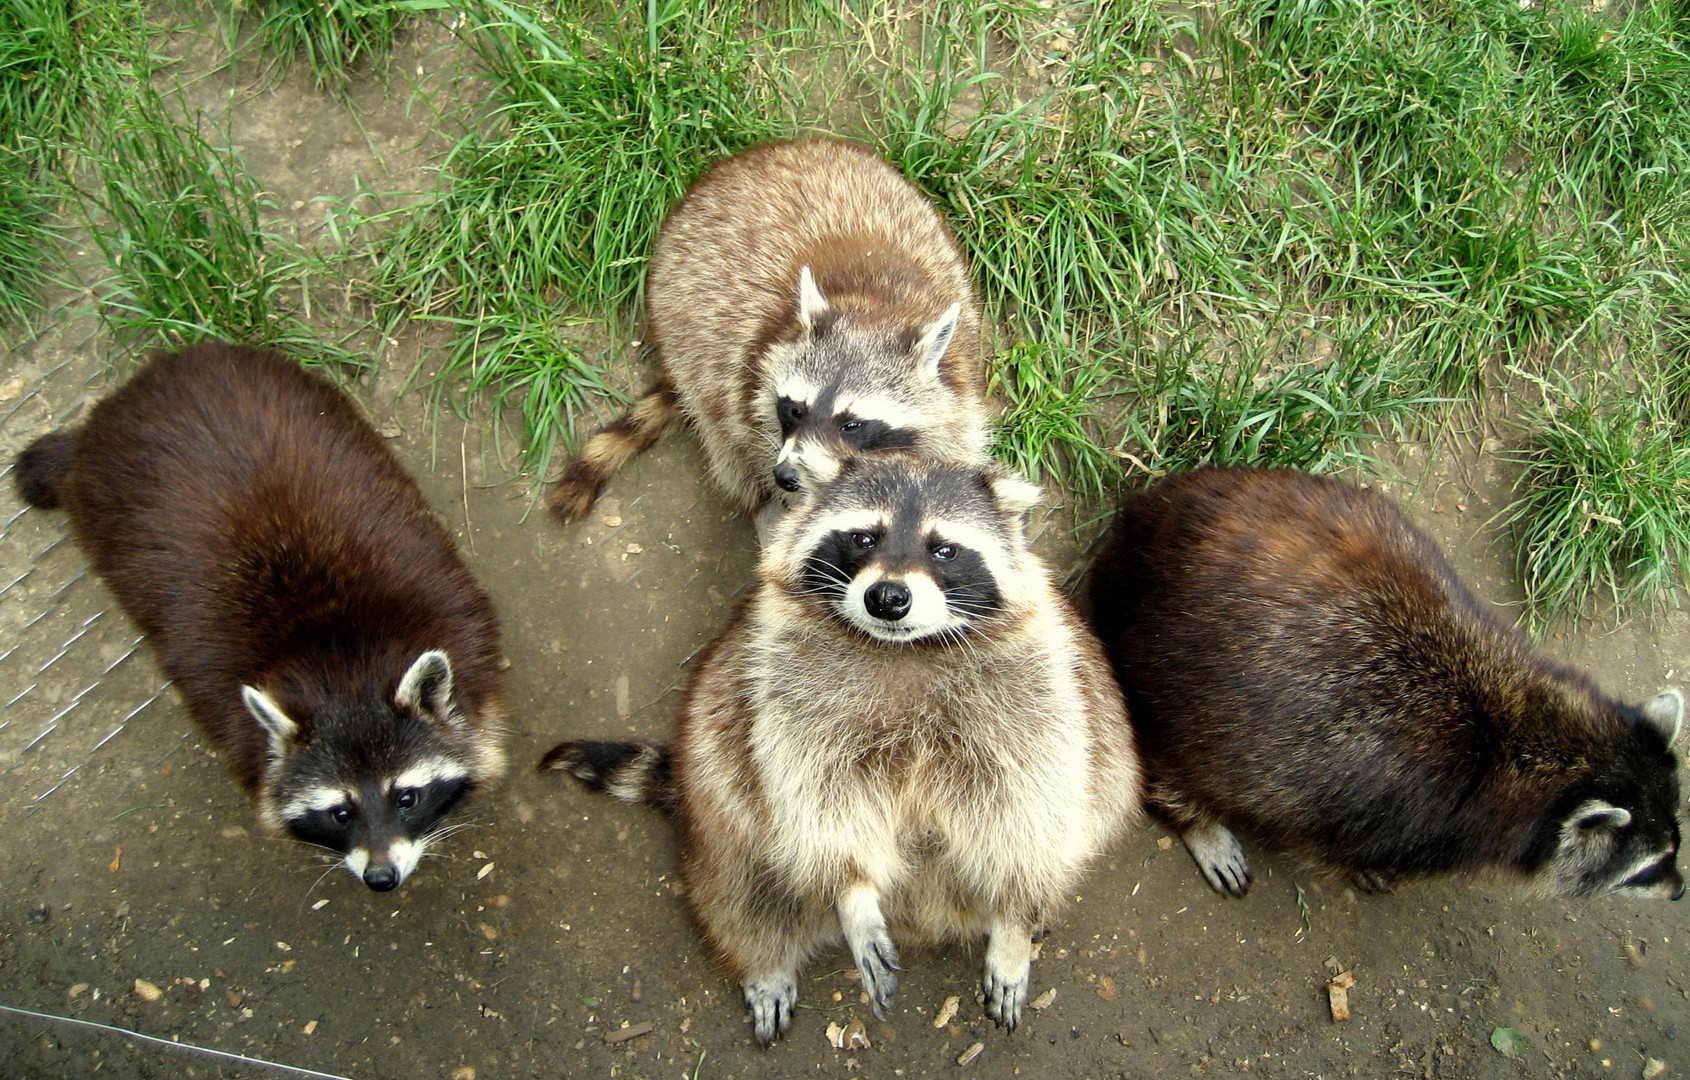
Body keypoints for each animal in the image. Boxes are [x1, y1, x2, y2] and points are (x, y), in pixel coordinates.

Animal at [13, 341, 503, 892]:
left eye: (406, 797)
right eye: (340, 812)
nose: (380, 878)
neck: (340, 658)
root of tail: (113, 408)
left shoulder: (462, 621)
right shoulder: (223, 708)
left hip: (291, 386)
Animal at [547, 136, 986, 527]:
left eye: (851, 424)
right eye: (795, 409)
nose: (787, 477)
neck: (872, 307)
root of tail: (756, 155)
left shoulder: (957, 382)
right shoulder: (748, 371)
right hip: (680, 317)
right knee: (720, 429)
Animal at [547, 459, 1142, 1047]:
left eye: (945, 549)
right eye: (863, 537)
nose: (888, 598)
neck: (904, 648)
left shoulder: (1036, 691)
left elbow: (1031, 808)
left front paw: (1013, 926)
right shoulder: (787, 689)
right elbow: (817, 798)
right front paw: (854, 893)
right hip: (716, 780)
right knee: (742, 884)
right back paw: (764, 961)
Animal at [1088, 466, 1683, 905]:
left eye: (1675, 844)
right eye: (1646, 868)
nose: (1679, 890)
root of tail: (1138, 525)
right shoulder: (1396, 813)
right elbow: (1334, 840)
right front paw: (1363, 869)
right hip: (1171, 678)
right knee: (1174, 760)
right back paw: (1196, 817)